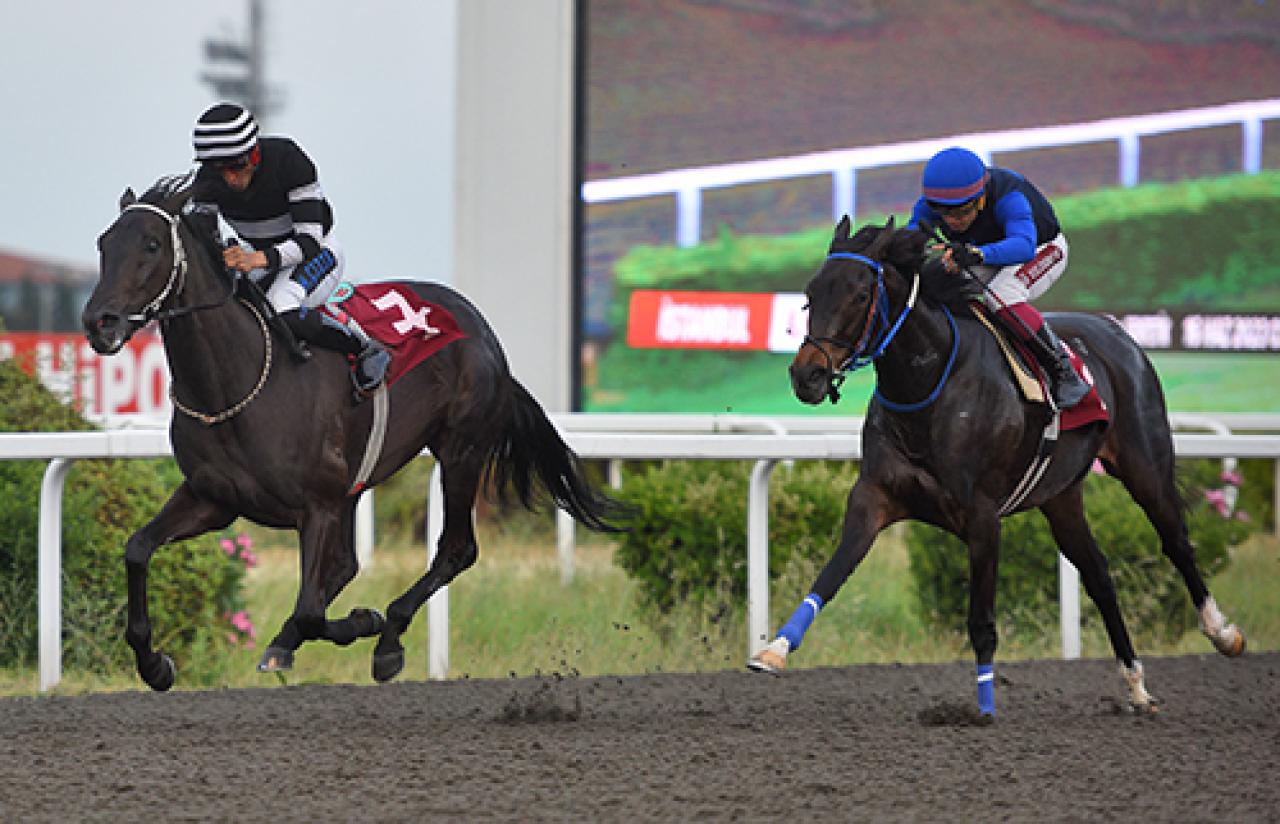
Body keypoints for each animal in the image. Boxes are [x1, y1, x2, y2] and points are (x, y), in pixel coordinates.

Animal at [82, 175, 622, 690]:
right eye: (104, 243)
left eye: (152, 244)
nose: (98, 323)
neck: (236, 383)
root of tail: (482, 330)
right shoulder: (212, 499)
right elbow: (137, 549)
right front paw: (154, 664)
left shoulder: (317, 506)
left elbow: (308, 609)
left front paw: (358, 624)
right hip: (360, 482)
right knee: (347, 565)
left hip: (461, 450)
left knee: (455, 549)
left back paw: (388, 640)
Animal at [747, 217, 1239, 716]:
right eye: (812, 292)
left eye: (861, 294)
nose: (806, 376)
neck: (929, 383)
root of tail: (1118, 333)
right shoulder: (874, 496)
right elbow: (831, 574)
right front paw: (775, 650)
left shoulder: (983, 517)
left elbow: (981, 621)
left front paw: (984, 707)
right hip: (1061, 496)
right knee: (1099, 574)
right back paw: (1136, 685)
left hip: (1145, 466)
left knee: (1176, 542)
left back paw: (1223, 633)